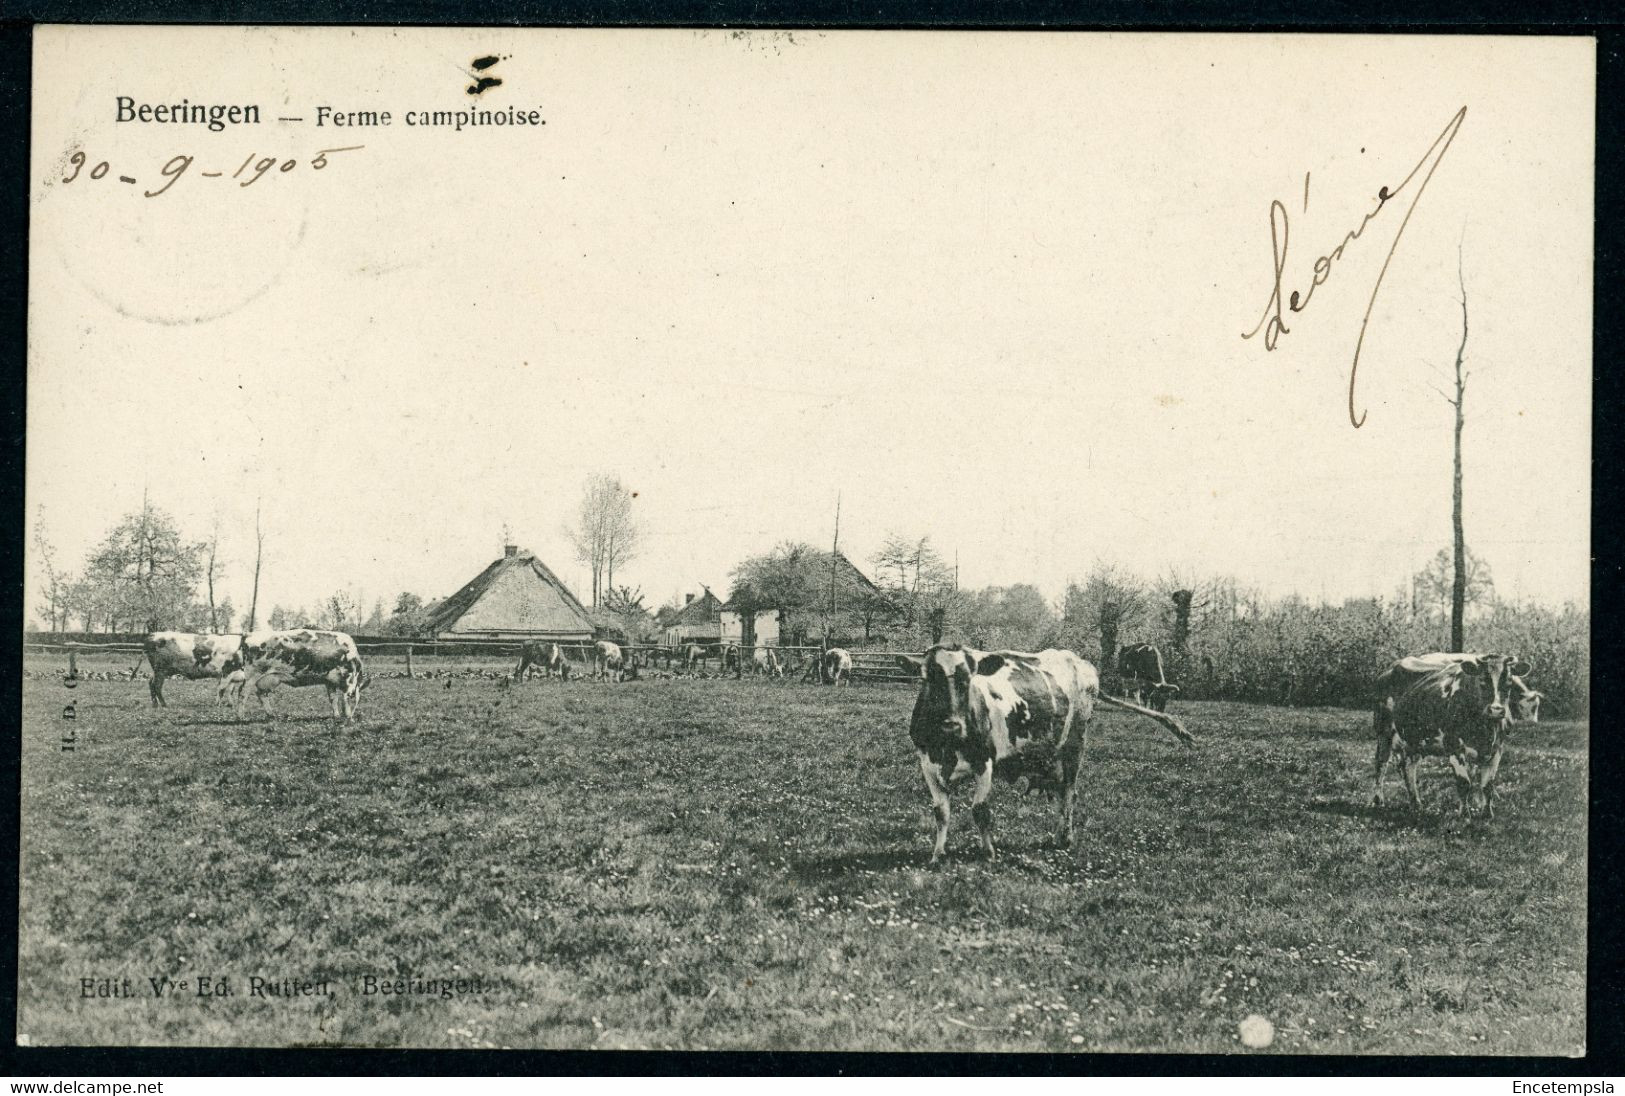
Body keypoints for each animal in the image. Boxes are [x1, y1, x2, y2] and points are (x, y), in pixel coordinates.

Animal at [235, 627, 365, 721]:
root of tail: (249, 634)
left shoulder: (329, 681)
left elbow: (333, 699)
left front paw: (337, 716)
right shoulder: (349, 679)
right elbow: (346, 698)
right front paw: (348, 717)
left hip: (267, 678)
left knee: (261, 694)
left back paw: (272, 715)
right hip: (251, 675)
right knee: (243, 693)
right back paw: (241, 717)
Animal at [903, 640, 1196, 865]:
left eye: (967, 680)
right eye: (928, 679)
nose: (952, 724)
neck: (947, 744)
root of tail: (1081, 662)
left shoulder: (984, 761)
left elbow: (981, 810)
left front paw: (988, 853)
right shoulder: (927, 763)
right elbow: (941, 811)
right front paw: (937, 855)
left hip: (1075, 744)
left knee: (1069, 792)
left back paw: (1066, 837)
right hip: (1051, 755)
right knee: (1058, 790)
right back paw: (1057, 835)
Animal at [1365, 653, 1527, 816]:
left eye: (1509, 682)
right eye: (1482, 680)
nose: (1496, 710)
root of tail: (1390, 668)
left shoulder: (1498, 748)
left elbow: (1488, 786)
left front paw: (1487, 814)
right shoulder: (1453, 745)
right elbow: (1464, 783)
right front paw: (1464, 815)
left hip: (1413, 740)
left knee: (1408, 767)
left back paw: (1416, 804)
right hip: (1383, 730)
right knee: (1381, 764)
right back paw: (1377, 801)